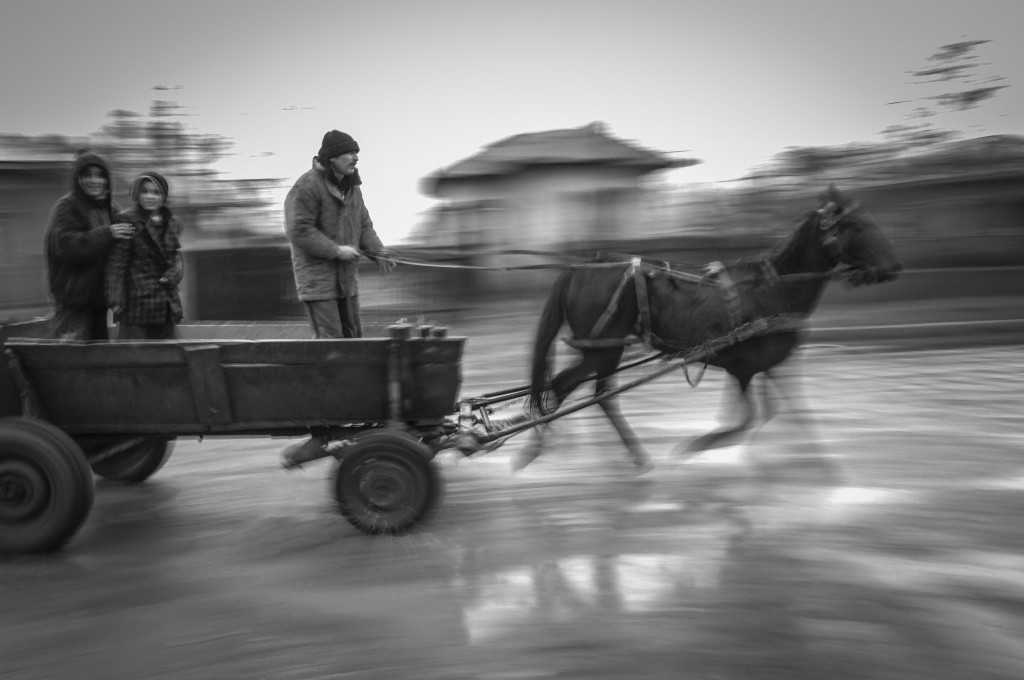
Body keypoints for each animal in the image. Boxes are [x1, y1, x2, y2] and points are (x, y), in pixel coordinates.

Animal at [520, 186, 905, 473]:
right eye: (857, 225)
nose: (894, 266)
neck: (775, 285)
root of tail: (581, 268)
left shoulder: (764, 365)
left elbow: (787, 414)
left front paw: (822, 467)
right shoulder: (744, 367)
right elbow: (746, 421)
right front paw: (697, 445)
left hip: (601, 350)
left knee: (583, 390)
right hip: (604, 348)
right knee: (573, 387)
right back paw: (546, 446)